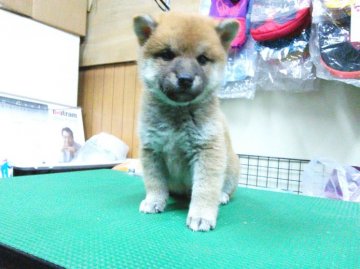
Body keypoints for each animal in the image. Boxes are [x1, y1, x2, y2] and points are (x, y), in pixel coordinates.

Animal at [134, 12, 240, 230]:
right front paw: (154, 201)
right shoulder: (151, 150)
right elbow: (155, 182)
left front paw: (201, 215)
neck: (177, 112)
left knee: (225, 188)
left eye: (202, 59)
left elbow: (205, 189)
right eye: (167, 55)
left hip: (232, 168)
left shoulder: (208, 150)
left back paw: (222, 196)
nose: (185, 78)